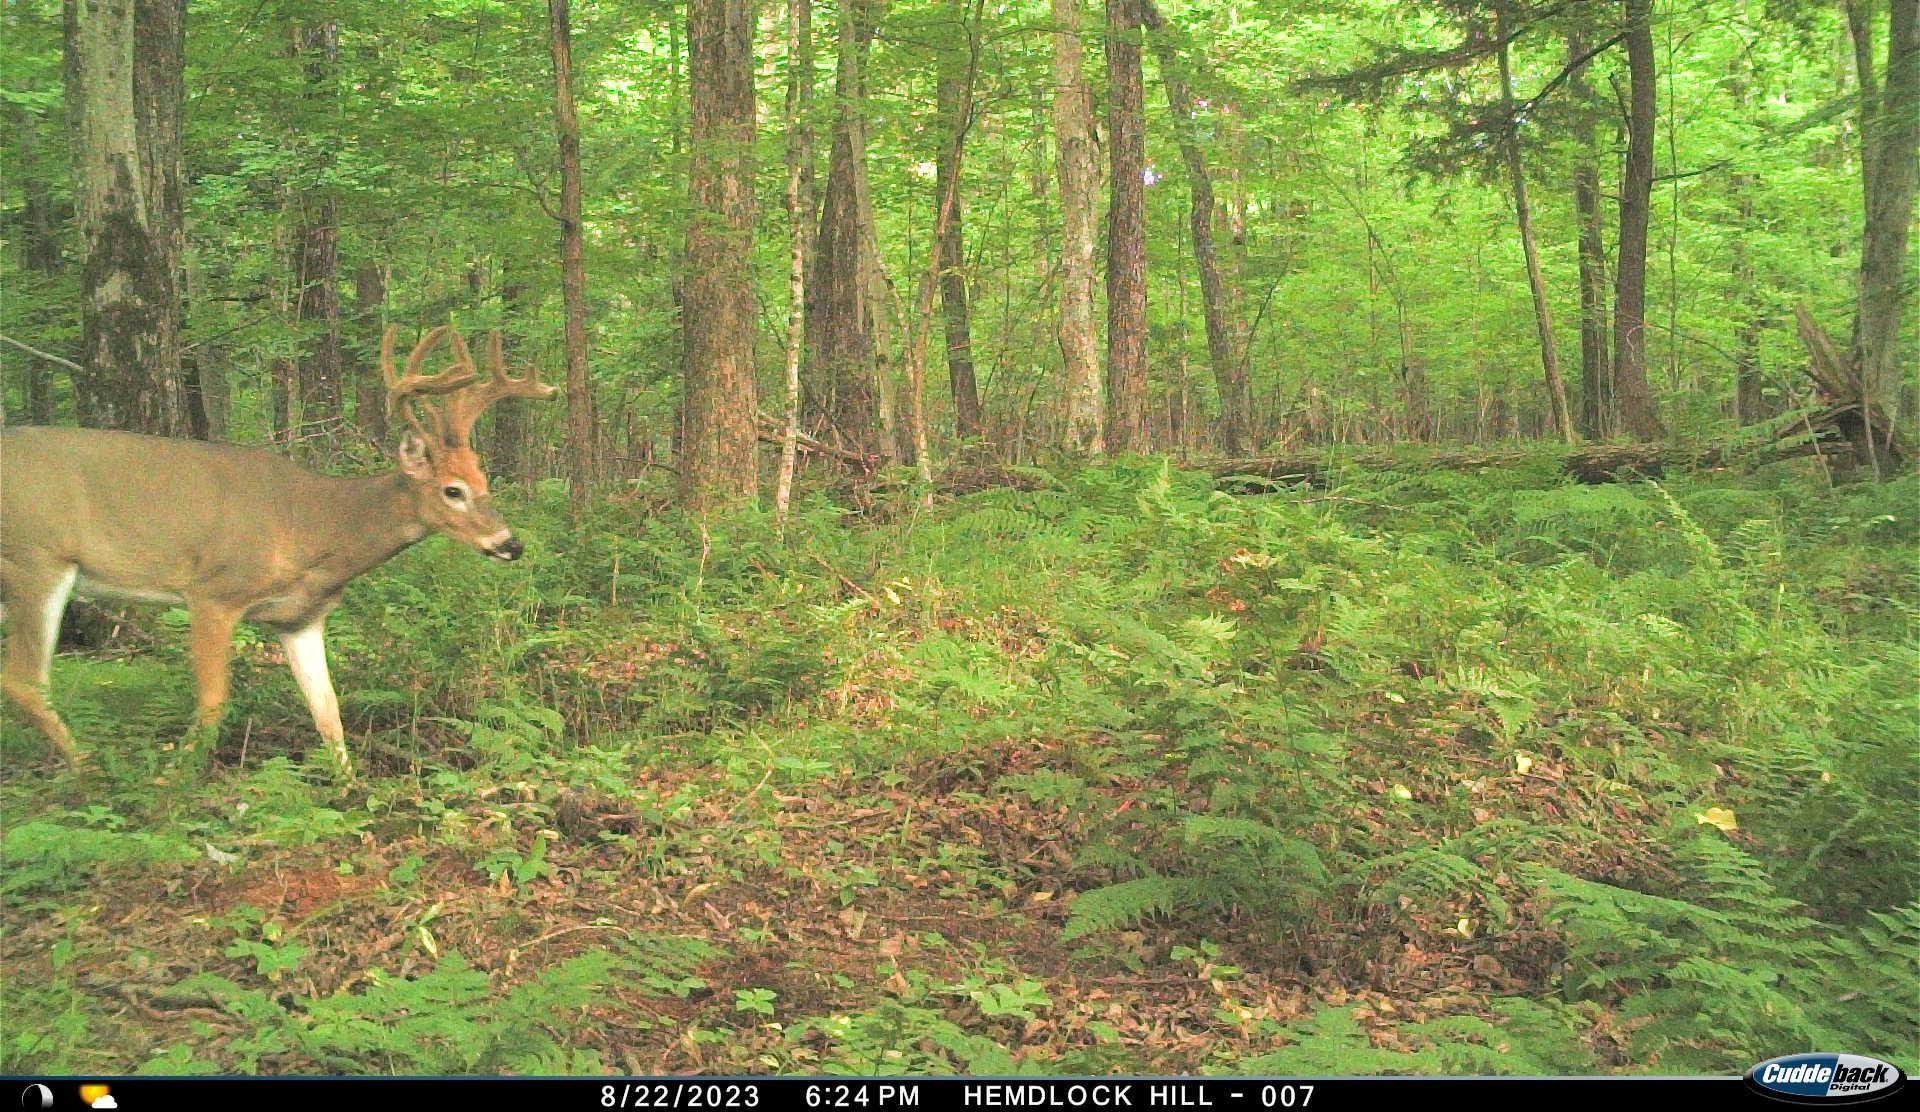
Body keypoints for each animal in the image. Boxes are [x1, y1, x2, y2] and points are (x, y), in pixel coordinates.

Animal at [0, 326, 556, 783]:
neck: (312, 529)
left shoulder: (299, 619)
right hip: (35, 559)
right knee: (24, 679)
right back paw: (93, 771)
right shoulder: (214, 591)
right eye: (451, 490)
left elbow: (328, 710)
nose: (510, 544)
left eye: (485, 481)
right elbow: (213, 701)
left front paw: (351, 790)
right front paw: (172, 781)